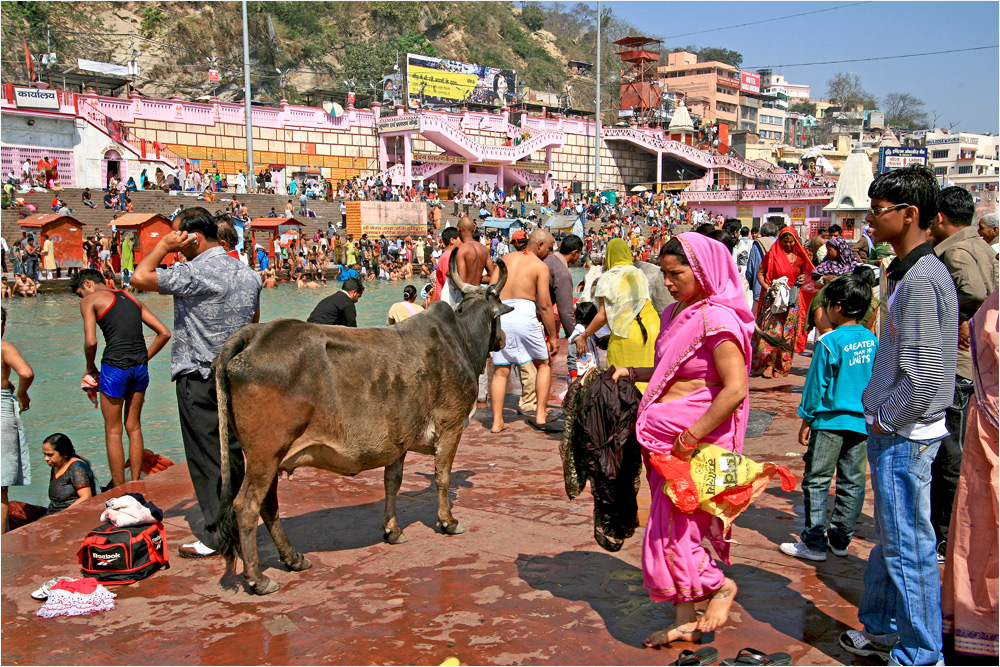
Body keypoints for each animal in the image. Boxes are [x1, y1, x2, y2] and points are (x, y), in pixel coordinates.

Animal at [211, 260, 508, 596]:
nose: (503, 339)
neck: (460, 339)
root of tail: (255, 334)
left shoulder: (398, 438)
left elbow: (392, 481)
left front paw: (392, 530)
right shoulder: (451, 424)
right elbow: (441, 477)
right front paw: (448, 522)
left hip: (270, 458)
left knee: (268, 504)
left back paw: (293, 558)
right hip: (265, 454)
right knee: (246, 506)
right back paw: (258, 578)